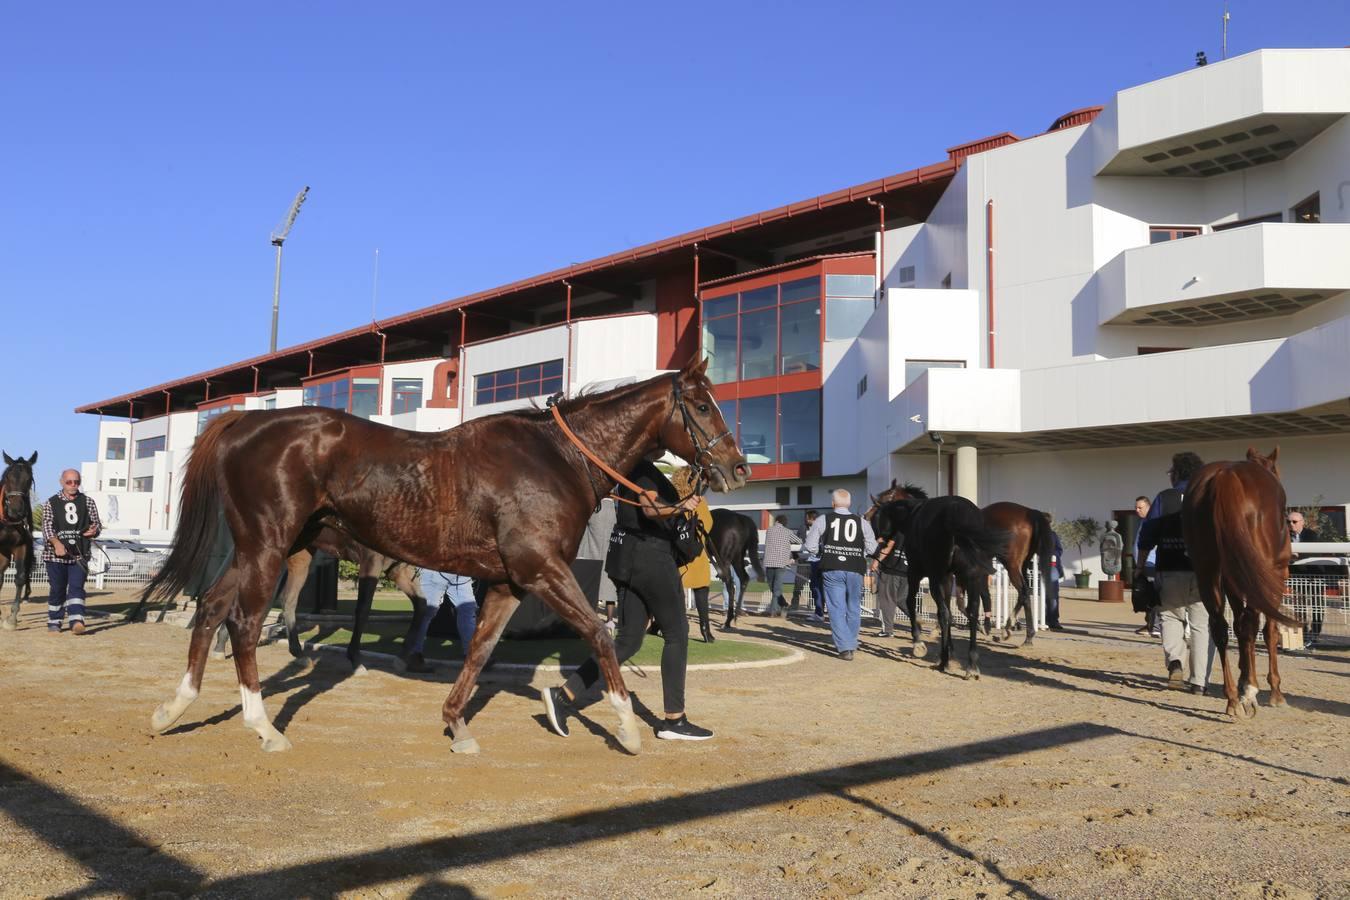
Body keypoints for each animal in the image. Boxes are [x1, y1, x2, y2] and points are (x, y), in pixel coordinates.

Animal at [141, 358, 750, 755]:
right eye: (701, 405)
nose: (738, 467)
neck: (554, 457)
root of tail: (245, 419)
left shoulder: (509, 583)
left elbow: (479, 651)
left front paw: (456, 724)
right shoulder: (541, 569)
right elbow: (599, 635)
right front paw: (626, 727)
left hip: (261, 546)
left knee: (211, 607)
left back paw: (175, 707)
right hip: (268, 544)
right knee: (242, 622)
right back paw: (263, 726)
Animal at [869, 496, 1009, 680]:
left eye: (874, 517)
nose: (879, 543)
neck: (912, 516)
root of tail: (957, 513)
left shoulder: (916, 572)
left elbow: (912, 602)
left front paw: (919, 643)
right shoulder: (948, 578)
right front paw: (952, 653)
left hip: (937, 577)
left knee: (943, 613)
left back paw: (944, 662)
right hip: (972, 577)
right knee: (971, 612)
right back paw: (971, 665)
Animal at [1182, 447, 1296, 723]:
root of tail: (1224, 477)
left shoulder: (1232, 580)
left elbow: (1240, 625)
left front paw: (1245, 677)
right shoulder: (1274, 576)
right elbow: (1268, 630)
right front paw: (1273, 691)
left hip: (1208, 570)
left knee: (1220, 628)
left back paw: (1233, 697)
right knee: (1251, 623)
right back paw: (1249, 691)